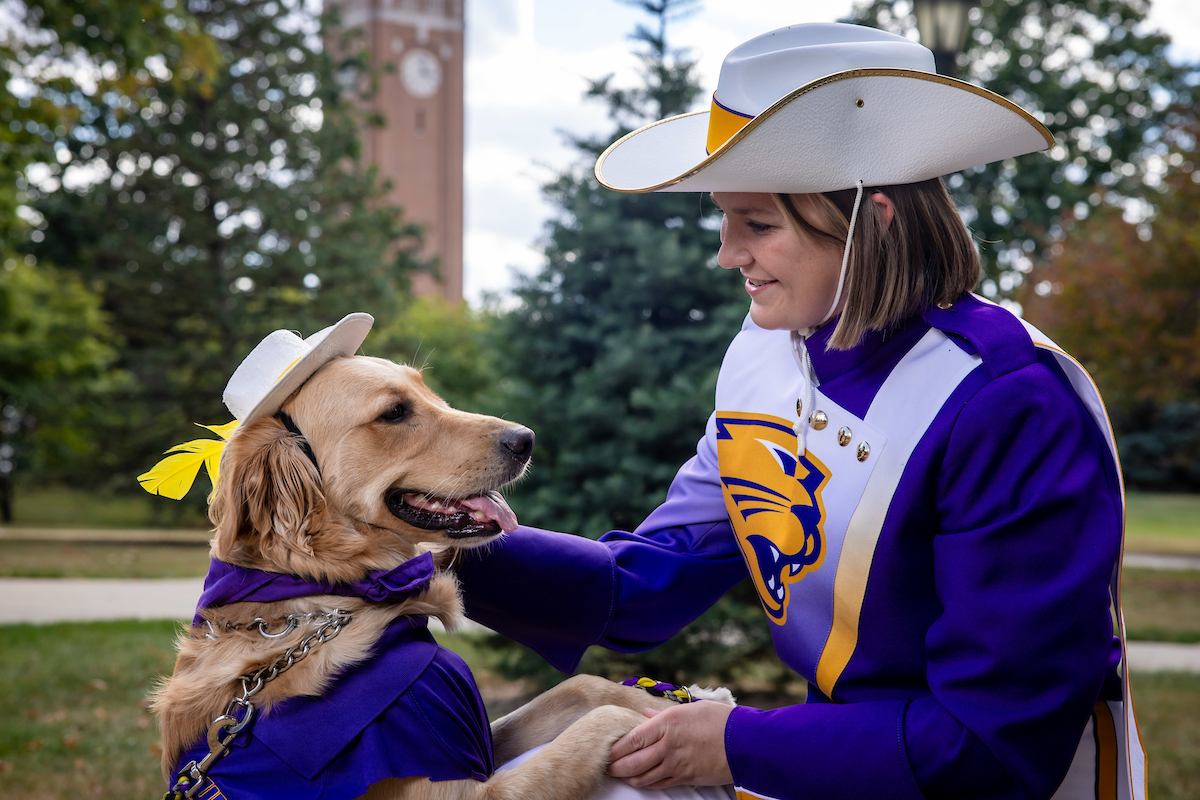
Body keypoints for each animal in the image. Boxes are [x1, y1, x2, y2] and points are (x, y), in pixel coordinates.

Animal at [151, 357, 696, 800]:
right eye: (394, 412)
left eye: (429, 392)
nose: (527, 440)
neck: (328, 594)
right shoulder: (464, 788)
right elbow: (598, 723)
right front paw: (667, 730)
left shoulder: (473, 738)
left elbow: (583, 688)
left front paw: (674, 703)